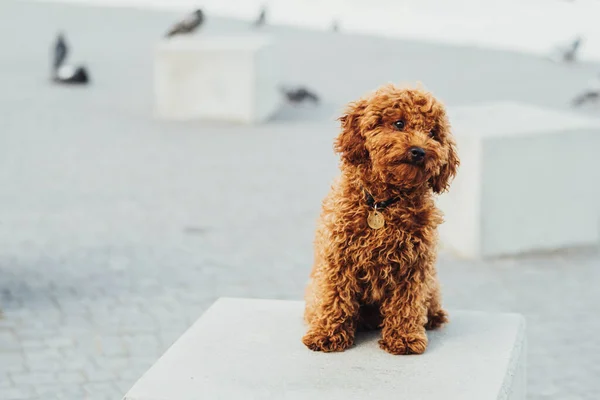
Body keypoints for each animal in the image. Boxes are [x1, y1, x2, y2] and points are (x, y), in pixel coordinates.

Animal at [302, 83, 458, 354]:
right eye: (399, 123)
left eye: (432, 133)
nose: (420, 151)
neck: (382, 204)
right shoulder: (337, 258)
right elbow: (334, 297)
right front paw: (327, 334)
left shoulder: (414, 265)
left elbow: (407, 303)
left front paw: (404, 338)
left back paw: (434, 317)